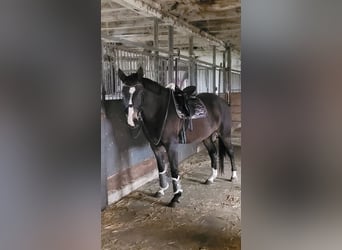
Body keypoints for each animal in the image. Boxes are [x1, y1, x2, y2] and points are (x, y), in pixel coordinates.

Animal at [119, 66, 236, 207]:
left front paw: (176, 197)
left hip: (225, 135)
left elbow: (174, 169)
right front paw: (161, 190)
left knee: (231, 152)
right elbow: (161, 168)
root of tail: (222, 102)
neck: (160, 110)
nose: (132, 120)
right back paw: (211, 178)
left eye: (140, 92)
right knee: (213, 153)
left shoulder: (171, 146)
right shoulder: (155, 147)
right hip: (206, 138)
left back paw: (233, 176)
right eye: (123, 92)